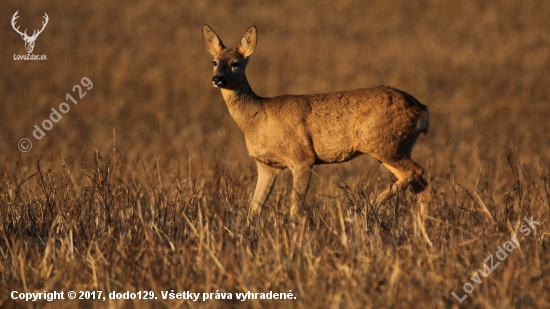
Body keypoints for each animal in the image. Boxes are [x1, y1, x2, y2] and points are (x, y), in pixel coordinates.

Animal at [205, 25, 434, 220]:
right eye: (214, 62)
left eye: (235, 63)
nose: (217, 79)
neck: (258, 118)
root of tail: (422, 110)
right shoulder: (266, 165)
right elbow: (254, 207)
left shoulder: (302, 158)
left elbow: (295, 208)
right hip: (394, 147)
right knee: (422, 184)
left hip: (383, 143)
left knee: (416, 172)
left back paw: (366, 208)